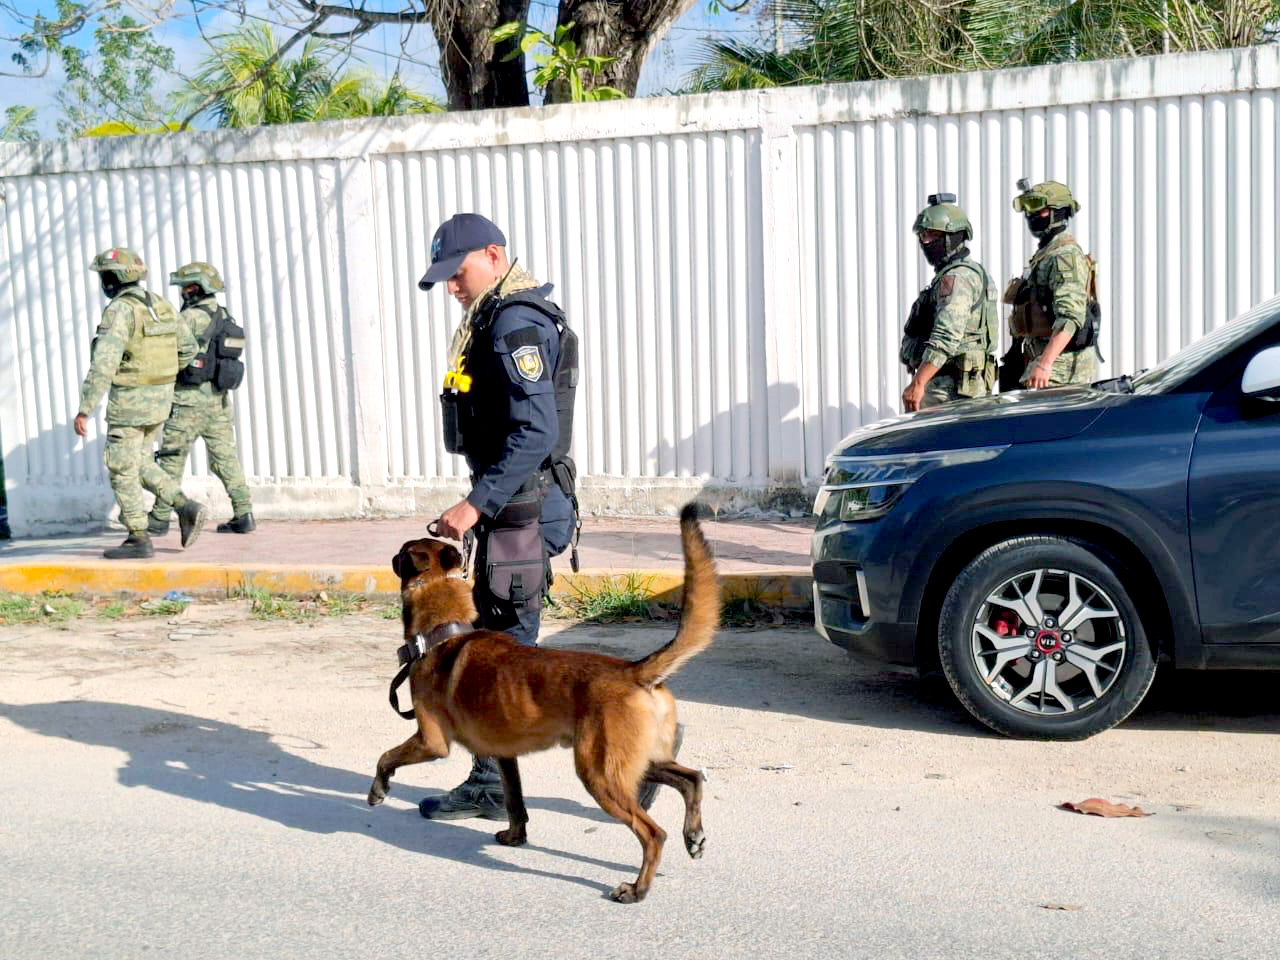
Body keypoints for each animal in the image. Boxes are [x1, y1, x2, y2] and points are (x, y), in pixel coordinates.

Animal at [371, 506, 721, 906]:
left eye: (403, 551)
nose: (391, 556)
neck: (444, 631)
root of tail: (634, 671)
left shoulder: (431, 742)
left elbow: (385, 757)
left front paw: (378, 790)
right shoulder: (505, 757)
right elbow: (515, 802)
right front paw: (515, 836)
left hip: (599, 773)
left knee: (653, 833)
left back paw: (637, 889)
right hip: (635, 761)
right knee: (691, 778)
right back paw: (692, 835)